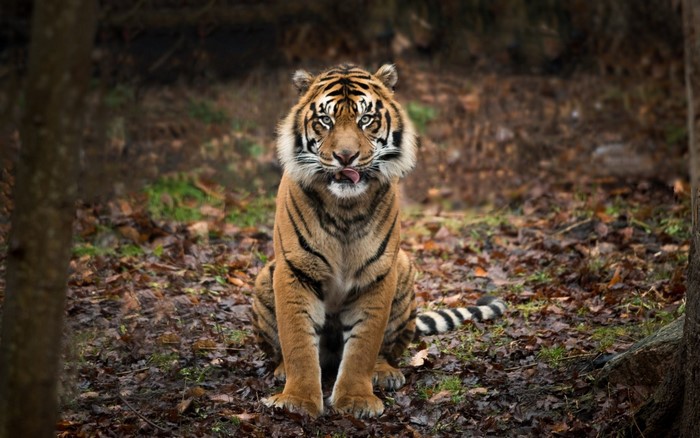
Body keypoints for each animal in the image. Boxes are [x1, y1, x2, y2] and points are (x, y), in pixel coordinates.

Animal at [251, 63, 506, 418]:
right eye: (325, 120)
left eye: (366, 119)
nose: (345, 157)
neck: (344, 208)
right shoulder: (294, 270)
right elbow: (298, 340)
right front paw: (298, 401)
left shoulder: (377, 274)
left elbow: (363, 345)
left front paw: (356, 399)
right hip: (266, 275)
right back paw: (281, 371)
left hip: (405, 268)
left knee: (386, 351)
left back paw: (385, 374)